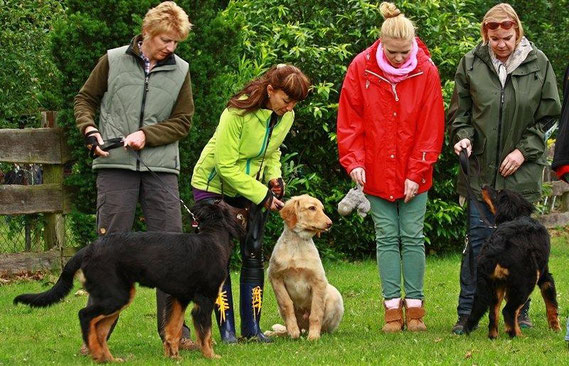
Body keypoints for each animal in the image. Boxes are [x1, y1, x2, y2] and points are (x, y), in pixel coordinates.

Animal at [13, 200, 243, 364]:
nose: (244, 207)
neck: (213, 238)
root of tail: (88, 249)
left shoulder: (179, 297)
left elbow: (173, 328)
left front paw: (173, 355)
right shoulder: (204, 299)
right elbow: (205, 332)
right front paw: (211, 356)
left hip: (117, 295)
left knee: (100, 328)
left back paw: (108, 358)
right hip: (115, 294)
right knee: (85, 316)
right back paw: (96, 354)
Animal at [268, 194, 344, 340]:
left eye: (322, 209)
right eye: (312, 208)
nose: (330, 224)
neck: (297, 243)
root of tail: (304, 328)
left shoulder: (319, 281)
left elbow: (316, 312)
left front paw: (314, 336)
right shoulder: (275, 278)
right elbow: (287, 305)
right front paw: (293, 331)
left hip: (334, 295)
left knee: (324, 327)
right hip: (279, 306)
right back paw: (280, 333)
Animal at [466, 187, 560, 338]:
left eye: (497, 192)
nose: (484, 187)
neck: (516, 216)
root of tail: (494, 247)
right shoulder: (546, 277)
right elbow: (552, 305)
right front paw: (556, 329)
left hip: (494, 285)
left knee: (493, 313)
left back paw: (494, 336)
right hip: (527, 282)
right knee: (508, 311)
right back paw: (518, 336)